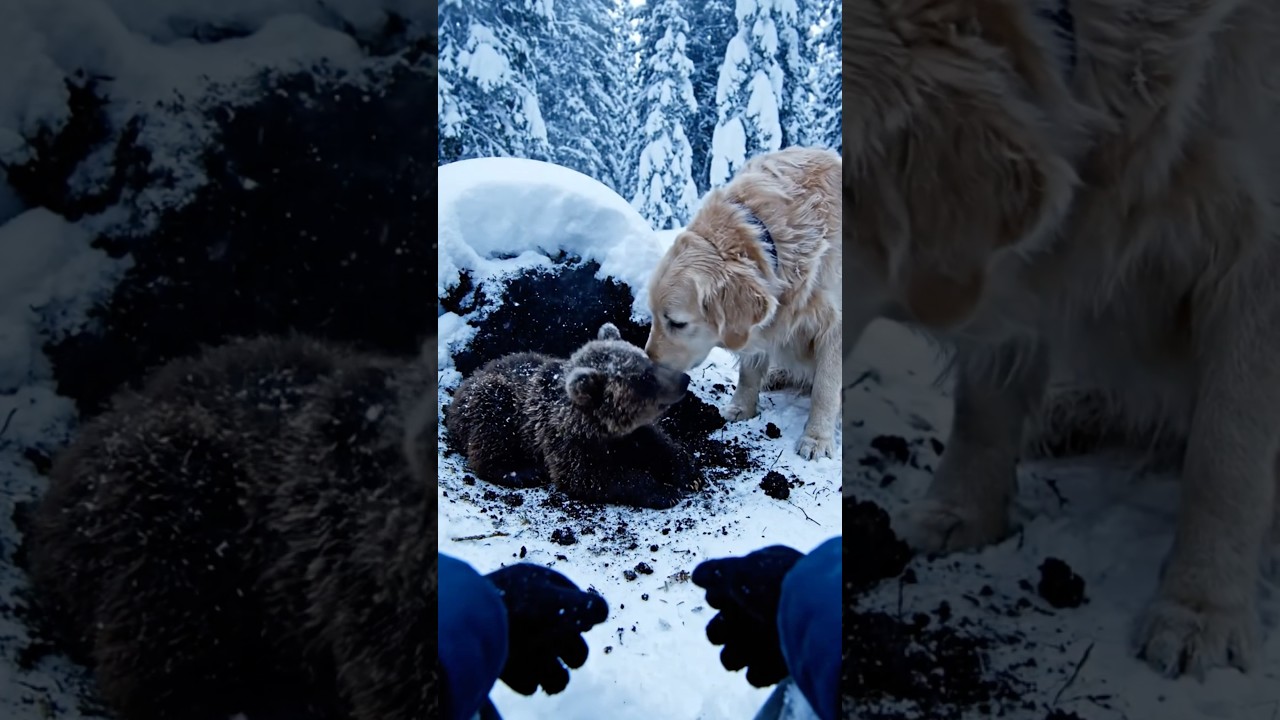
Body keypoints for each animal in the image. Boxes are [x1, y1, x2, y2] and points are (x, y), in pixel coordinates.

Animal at [445, 322, 702, 509]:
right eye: (644, 377)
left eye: (648, 360)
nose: (684, 379)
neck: (599, 427)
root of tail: (464, 384)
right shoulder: (564, 441)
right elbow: (589, 476)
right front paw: (662, 490)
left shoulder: (630, 433)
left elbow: (657, 444)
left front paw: (689, 473)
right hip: (494, 401)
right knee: (490, 430)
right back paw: (523, 471)